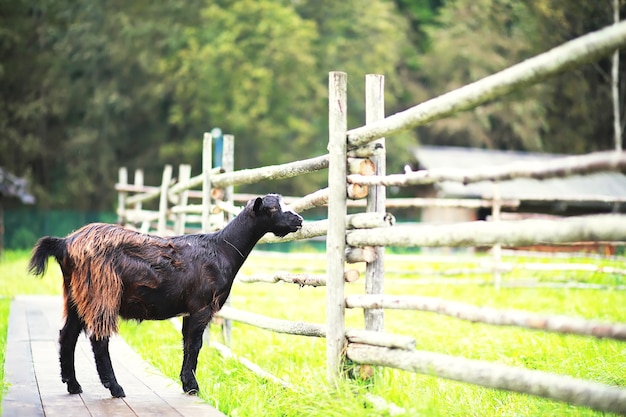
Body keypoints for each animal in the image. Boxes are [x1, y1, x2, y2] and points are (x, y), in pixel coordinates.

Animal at [29, 193, 302, 394]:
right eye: (273, 208)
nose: (299, 220)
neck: (222, 248)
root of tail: (65, 243)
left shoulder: (189, 309)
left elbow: (187, 344)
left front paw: (186, 383)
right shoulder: (202, 306)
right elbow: (195, 344)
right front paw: (193, 387)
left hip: (76, 294)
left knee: (67, 335)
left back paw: (73, 385)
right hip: (101, 291)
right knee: (99, 338)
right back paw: (115, 388)